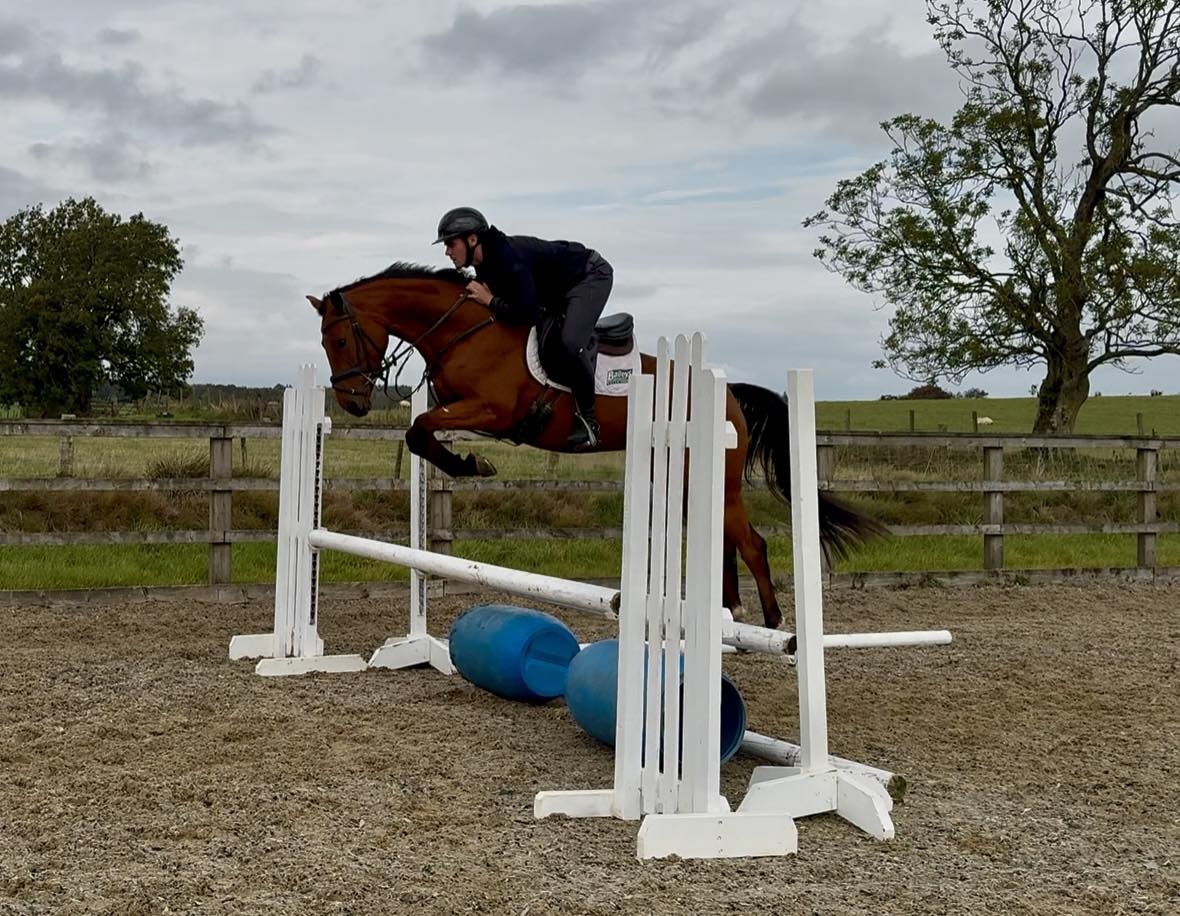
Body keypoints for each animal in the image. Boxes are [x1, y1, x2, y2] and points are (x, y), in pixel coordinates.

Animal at [308, 262, 885, 631]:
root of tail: (728, 393)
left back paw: (772, 624)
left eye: (338, 339)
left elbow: (420, 428)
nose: (353, 402)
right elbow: (421, 431)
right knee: (724, 539)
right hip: (687, 476)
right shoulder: (460, 406)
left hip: (713, 476)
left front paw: (472, 464)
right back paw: (730, 614)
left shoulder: (494, 410)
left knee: (753, 544)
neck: (466, 328)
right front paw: (466, 461)